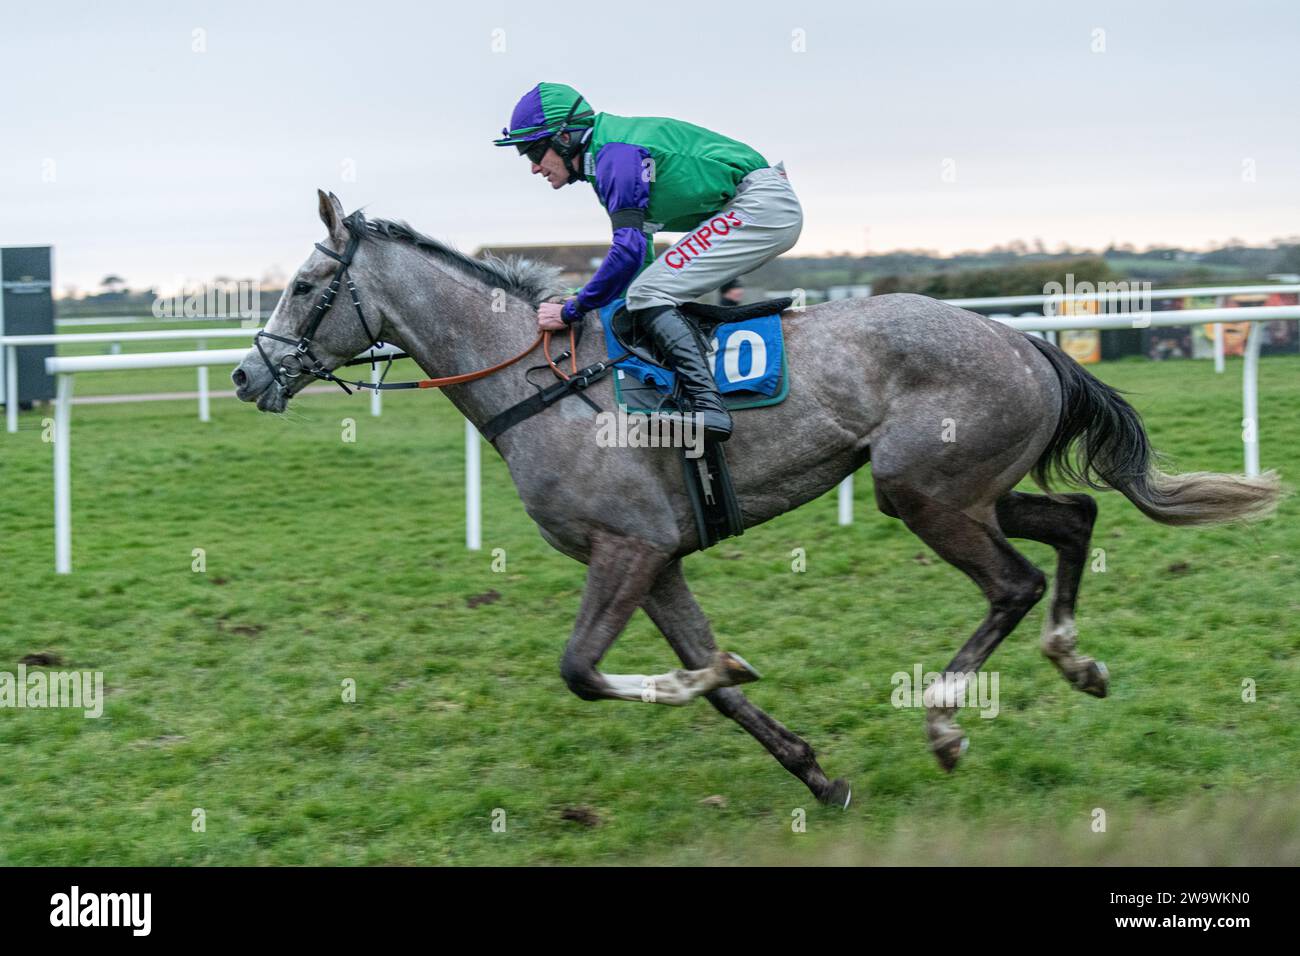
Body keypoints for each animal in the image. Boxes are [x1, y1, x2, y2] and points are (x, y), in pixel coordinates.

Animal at [231, 195, 1279, 806]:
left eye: (307, 283)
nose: (246, 375)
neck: (544, 379)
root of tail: (1024, 338)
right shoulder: (654, 561)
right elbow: (711, 683)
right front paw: (813, 770)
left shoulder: (627, 550)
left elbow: (590, 672)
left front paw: (718, 678)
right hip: (970, 488)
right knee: (1075, 523)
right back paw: (1077, 661)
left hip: (924, 493)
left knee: (1012, 585)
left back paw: (945, 722)